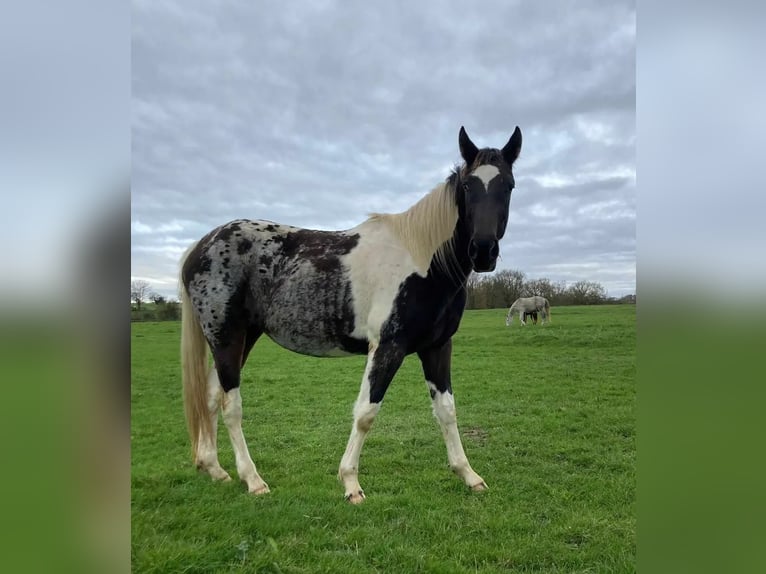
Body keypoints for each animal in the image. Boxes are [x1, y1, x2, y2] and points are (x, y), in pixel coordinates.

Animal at [183, 125, 524, 504]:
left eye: (508, 185)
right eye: (467, 187)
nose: (483, 251)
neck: (423, 262)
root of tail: (201, 246)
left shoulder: (437, 347)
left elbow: (447, 411)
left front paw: (469, 475)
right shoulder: (388, 347)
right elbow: (365, 413)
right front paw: (350, 483)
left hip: (243, 338)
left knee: (211, 397)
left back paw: (215, 469)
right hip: (227, 338)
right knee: (230, 404)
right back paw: (253, 479)